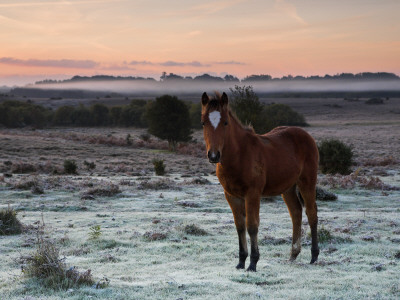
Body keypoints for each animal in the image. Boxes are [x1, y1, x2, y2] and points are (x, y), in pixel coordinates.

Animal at [202, 92, 320, 272]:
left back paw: (314, 256)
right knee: (296, 212)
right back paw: (293, 254)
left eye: (225, 122)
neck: (240, 155)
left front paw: (253, 263)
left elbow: (252, 226)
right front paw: (241, 261)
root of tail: (306, 136)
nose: (214, 155)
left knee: (311, 213)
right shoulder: (231, 195)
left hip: (307, 182)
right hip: (287, 188)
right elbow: (240, 226)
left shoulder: (252, 194)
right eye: (203, 123)